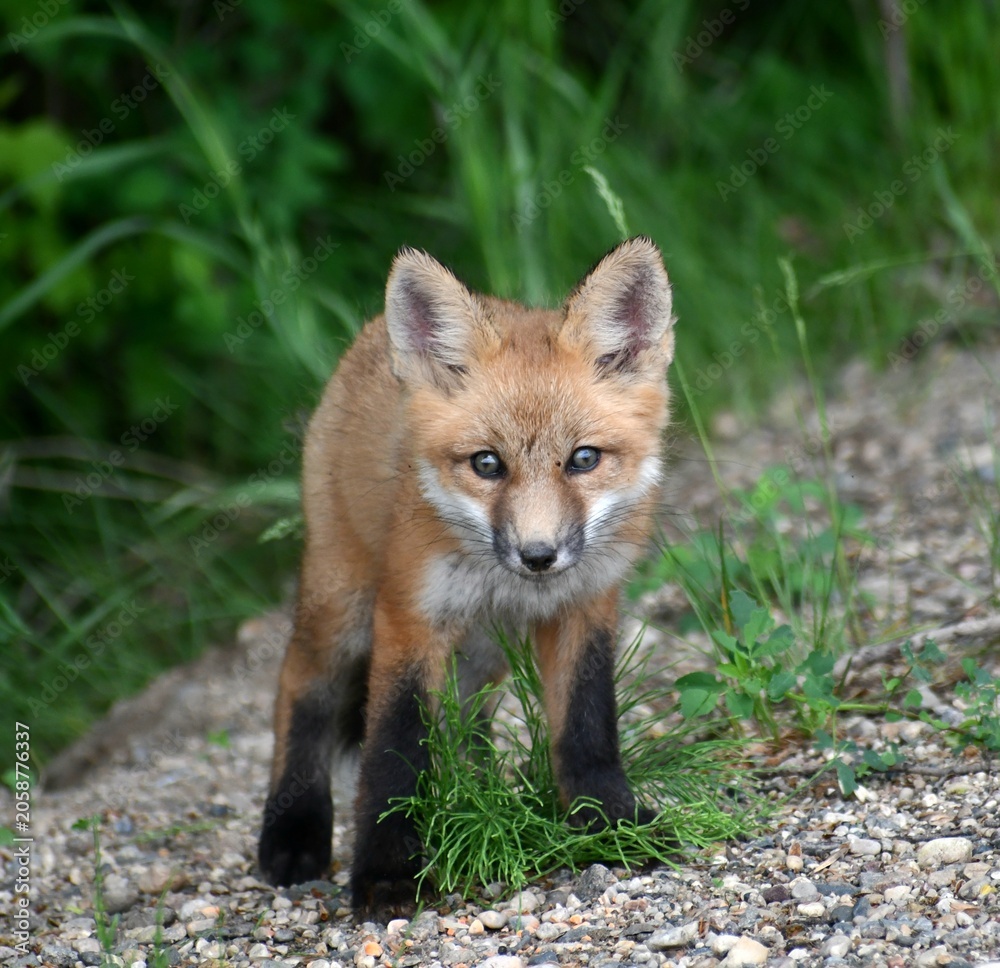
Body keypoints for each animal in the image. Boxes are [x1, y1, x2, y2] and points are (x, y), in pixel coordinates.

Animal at [257, 236, 676, 919]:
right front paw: (388, 874)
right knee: (302, 688)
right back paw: (292, 831)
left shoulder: (588, 604)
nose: (538, 555)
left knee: (466, 715)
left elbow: (587, 728)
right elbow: (394, 752)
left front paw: (611, 826)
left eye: (583, 459)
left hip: (483, 648)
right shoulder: (410, 616)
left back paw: (477, 793)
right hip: (342, 606)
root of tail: (367, 339)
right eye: (486, 464)